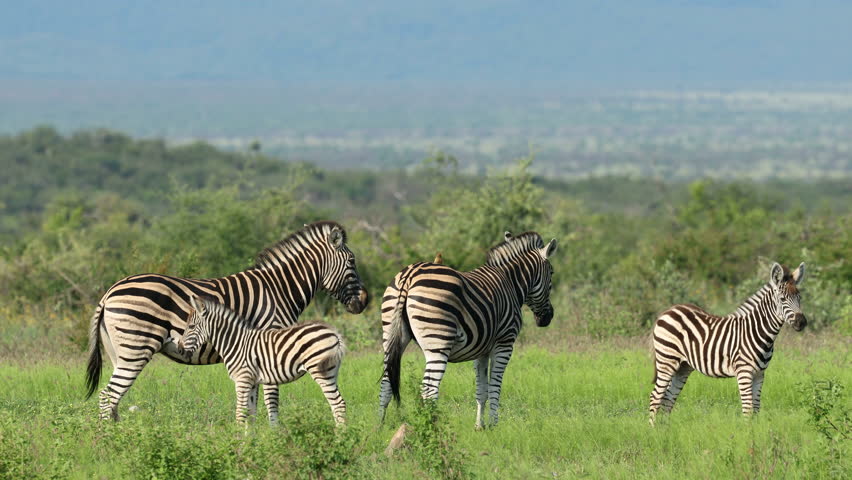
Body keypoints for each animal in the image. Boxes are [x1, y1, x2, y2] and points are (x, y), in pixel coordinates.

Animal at [177, 296, 346, 425]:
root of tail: (334, 333)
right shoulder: (252, 382)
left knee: (337, 404)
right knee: (339, 404)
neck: (235, 342)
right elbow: (250, 414)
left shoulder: (242, 380)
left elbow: (240, 414)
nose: (179, 349)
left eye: (191, 326)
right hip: (332, 372)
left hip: (320, 371)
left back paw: (340, 439)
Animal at [378, 230, 558, 429]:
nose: (547, 318)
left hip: (391, 335)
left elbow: (482, 390)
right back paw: (433, 429)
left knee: (386, 383)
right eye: (552, 273)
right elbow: (495, 387)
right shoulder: (504, 343)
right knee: (429, 390)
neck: (511, 283)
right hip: (438, 341)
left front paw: (479, 426)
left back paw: (378, 427)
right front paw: (494, 425)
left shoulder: (482, 350)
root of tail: (410, 274)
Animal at [649, 262, 807, 425]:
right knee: (655, 397)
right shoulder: (744, 372)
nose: (802, 322)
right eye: (782, 299)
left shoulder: (759, 374)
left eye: (800, 297)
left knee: (668, 399)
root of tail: (668, 310)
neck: (757, 331)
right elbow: (748, 409)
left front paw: (756, 429)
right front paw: (748, 432)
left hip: (683, 367)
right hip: (666, 360)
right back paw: (653, 430)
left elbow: (756, 408)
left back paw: (666, 429)